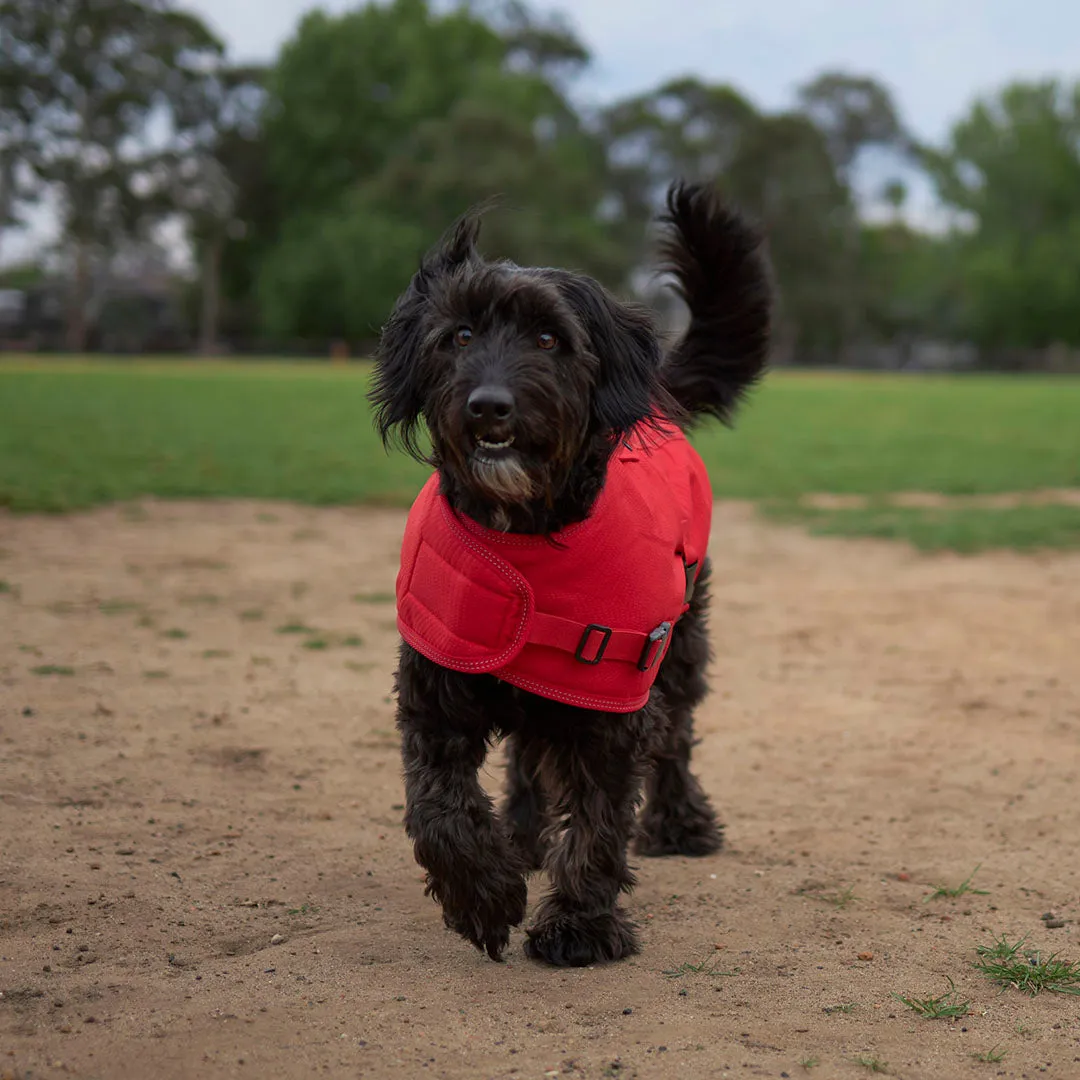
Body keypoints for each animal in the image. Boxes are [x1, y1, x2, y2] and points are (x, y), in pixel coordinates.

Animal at [371, 181, 777, 967]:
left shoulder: (612, 701)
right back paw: (523, 836)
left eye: (548, 339)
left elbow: (598, 821)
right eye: (459, 336)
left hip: (680, 646)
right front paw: (485, 893)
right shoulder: (435, 688)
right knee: (529, 755)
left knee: (675, 738)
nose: (489, 406)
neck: (527, 538)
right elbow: (437, 810)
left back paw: (680, 823)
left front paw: (579, 925)